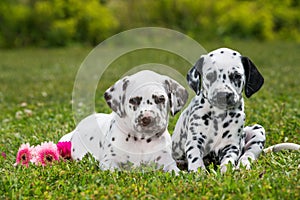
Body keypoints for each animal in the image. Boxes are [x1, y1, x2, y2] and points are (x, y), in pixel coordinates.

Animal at [59, 70, 188, 172]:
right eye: (133, 100)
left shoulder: (165, 159)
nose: (147, 119)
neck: (142, 140)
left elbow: (173, 169)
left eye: (161, 99)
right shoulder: (109, 160)